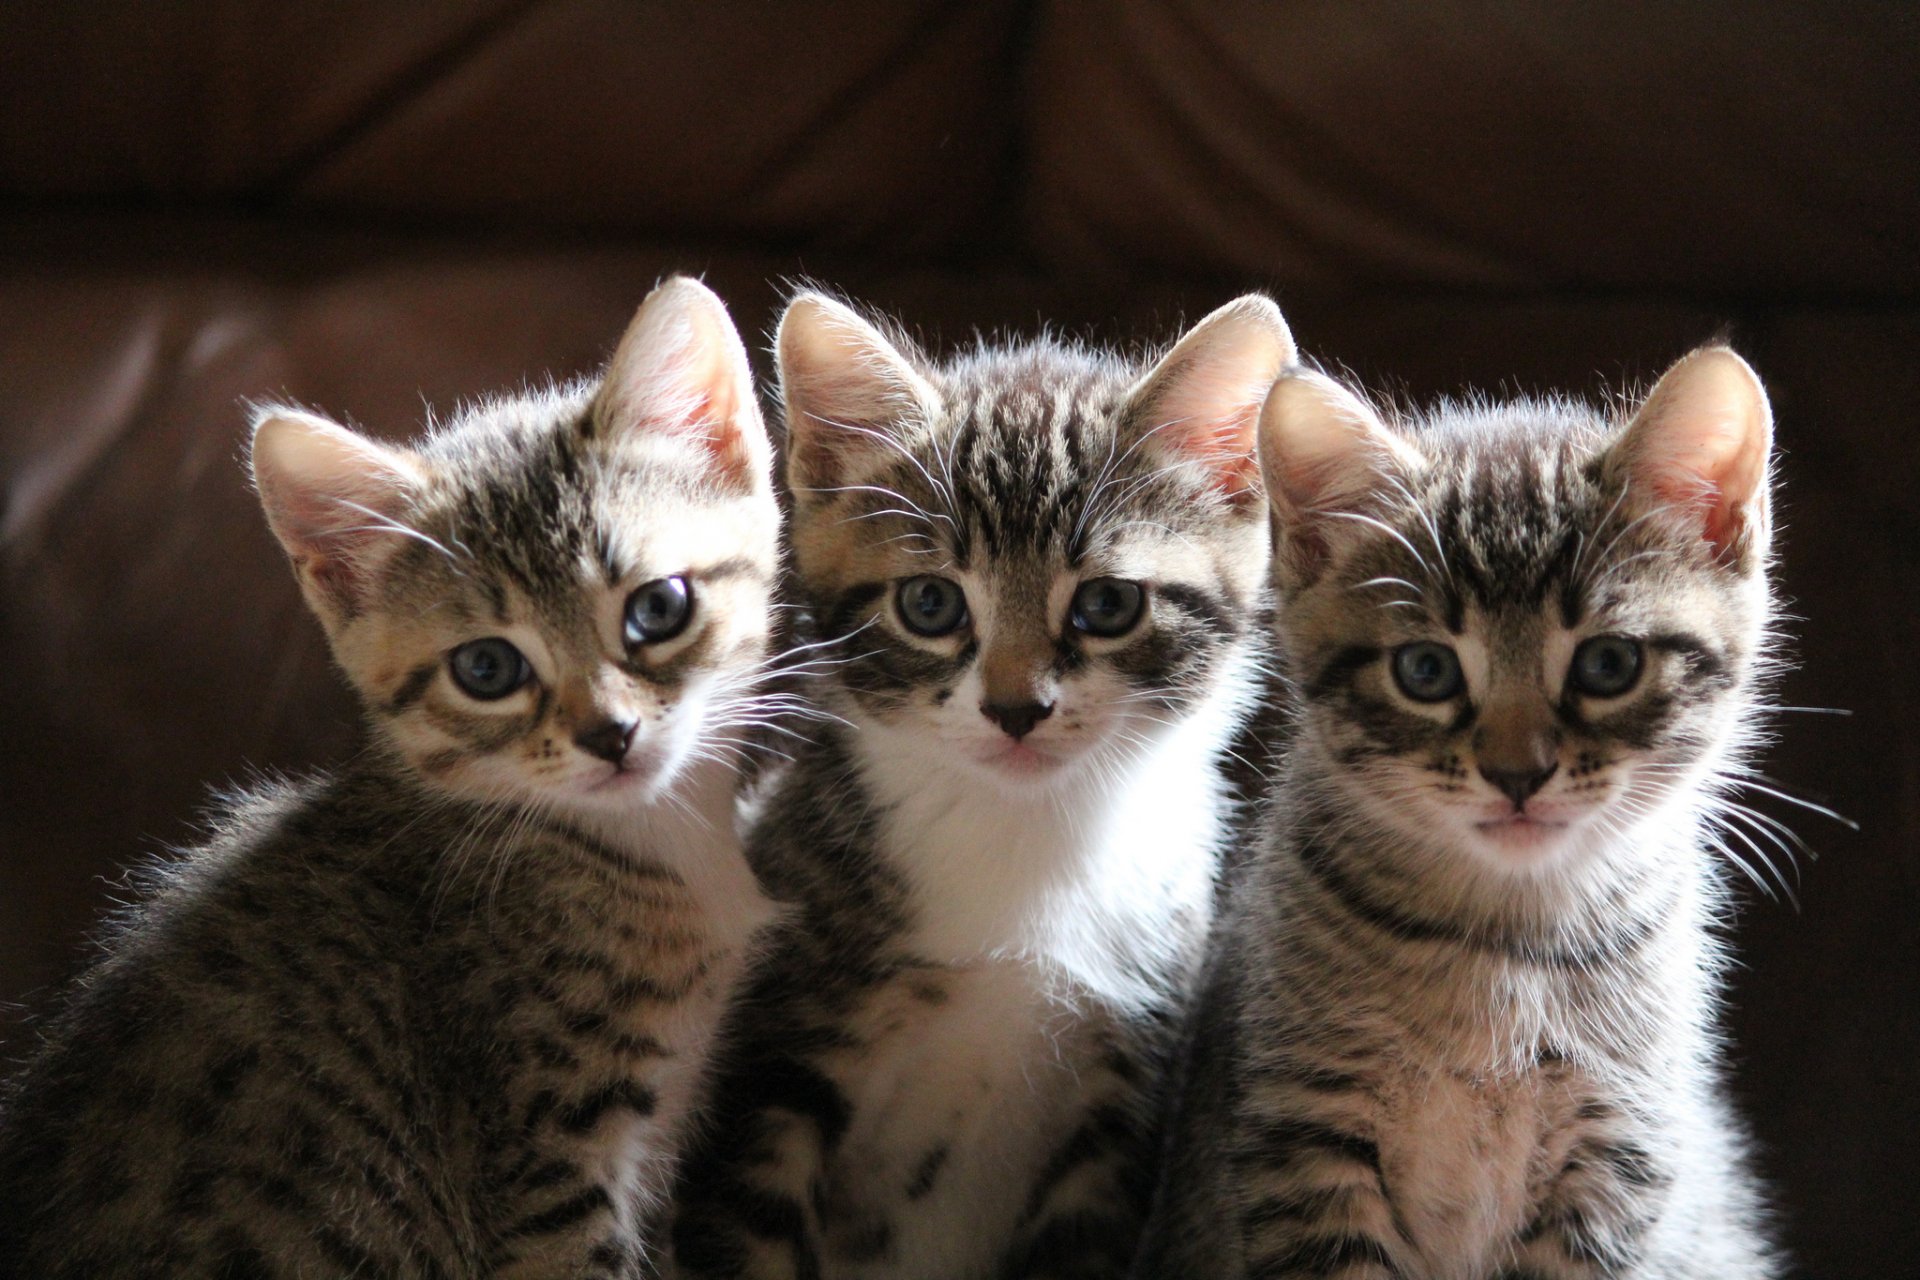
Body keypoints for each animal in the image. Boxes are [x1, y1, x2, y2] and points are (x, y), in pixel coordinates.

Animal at [672, 293, 1290, 1280]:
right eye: (931, 604)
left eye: (1107, 605)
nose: (1014, 709)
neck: (1024, 834)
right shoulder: (770, 1066)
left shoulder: (1121, 1097)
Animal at [1136, 351, 1781, 1280]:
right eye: (1426, 671)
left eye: (1609, 664)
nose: (1517, 773)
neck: (1507, 946)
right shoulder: (1306, 1143)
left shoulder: (1616, 1154)